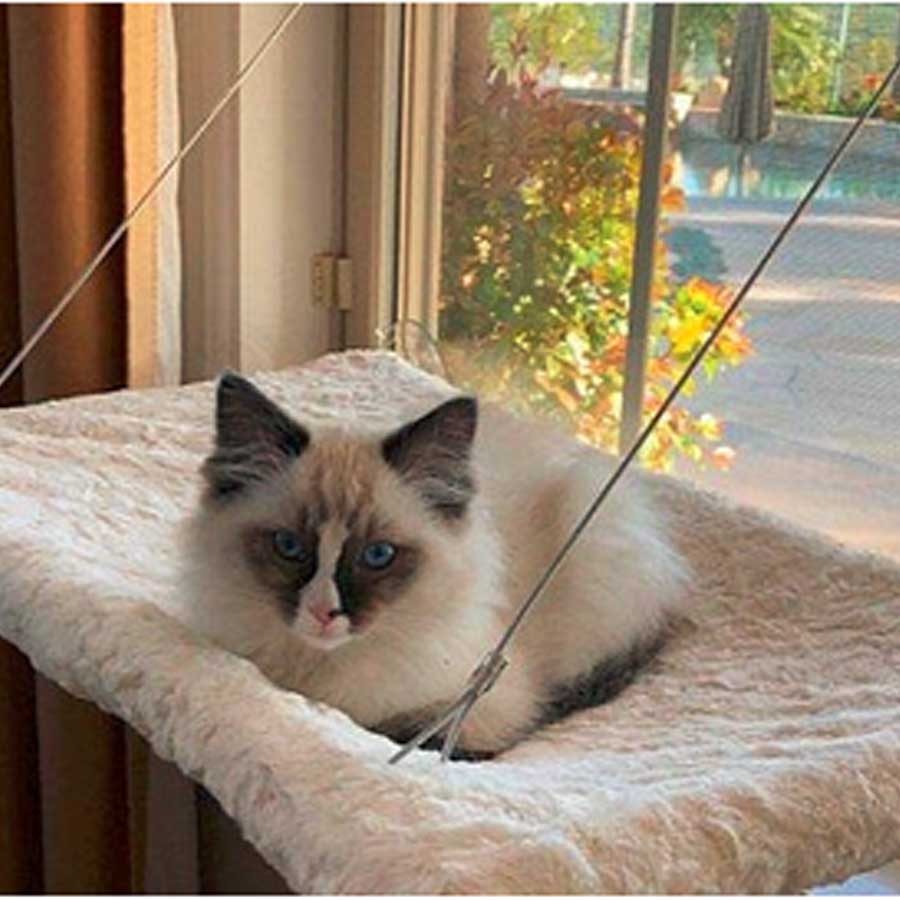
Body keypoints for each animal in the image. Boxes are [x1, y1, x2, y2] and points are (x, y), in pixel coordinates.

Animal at [183, 372, 688, 760]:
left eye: (378, 555)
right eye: (289, 547)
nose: (325, 612)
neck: (319, 673)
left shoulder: (485, 707)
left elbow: (416, 731)